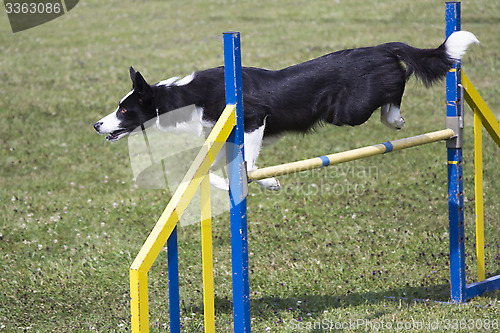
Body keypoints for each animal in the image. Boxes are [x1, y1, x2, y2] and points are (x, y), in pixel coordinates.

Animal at [93, 31, 476, 189]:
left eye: (124, 110)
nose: (97, 125)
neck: (186, 97)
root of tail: (378, 47)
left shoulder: (252, 119)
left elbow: (247, 165)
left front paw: (265, 180)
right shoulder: (224, 138)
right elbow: (212, 172)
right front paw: (262, 183)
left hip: (348, 110)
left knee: (400, 78)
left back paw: (395, 118)